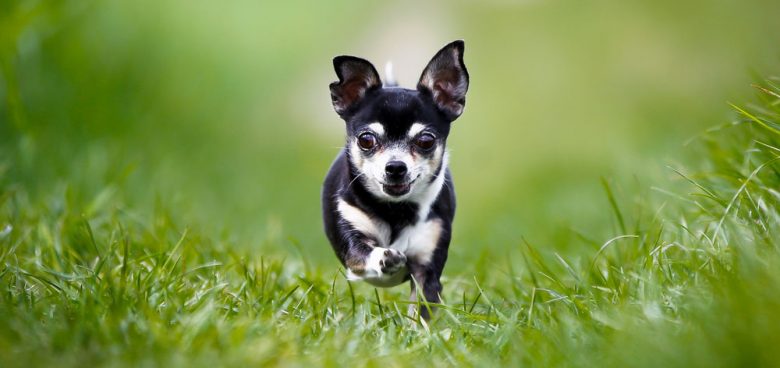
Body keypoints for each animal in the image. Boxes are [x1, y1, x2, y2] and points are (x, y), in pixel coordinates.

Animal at [322, 39, 470, 316]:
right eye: (366, 140)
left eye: (426, 141)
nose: (395, 167)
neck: (396, 210)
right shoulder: (352, 249)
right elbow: (364, 255)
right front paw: (384, 258)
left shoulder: (426, 272)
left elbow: (421, 312)